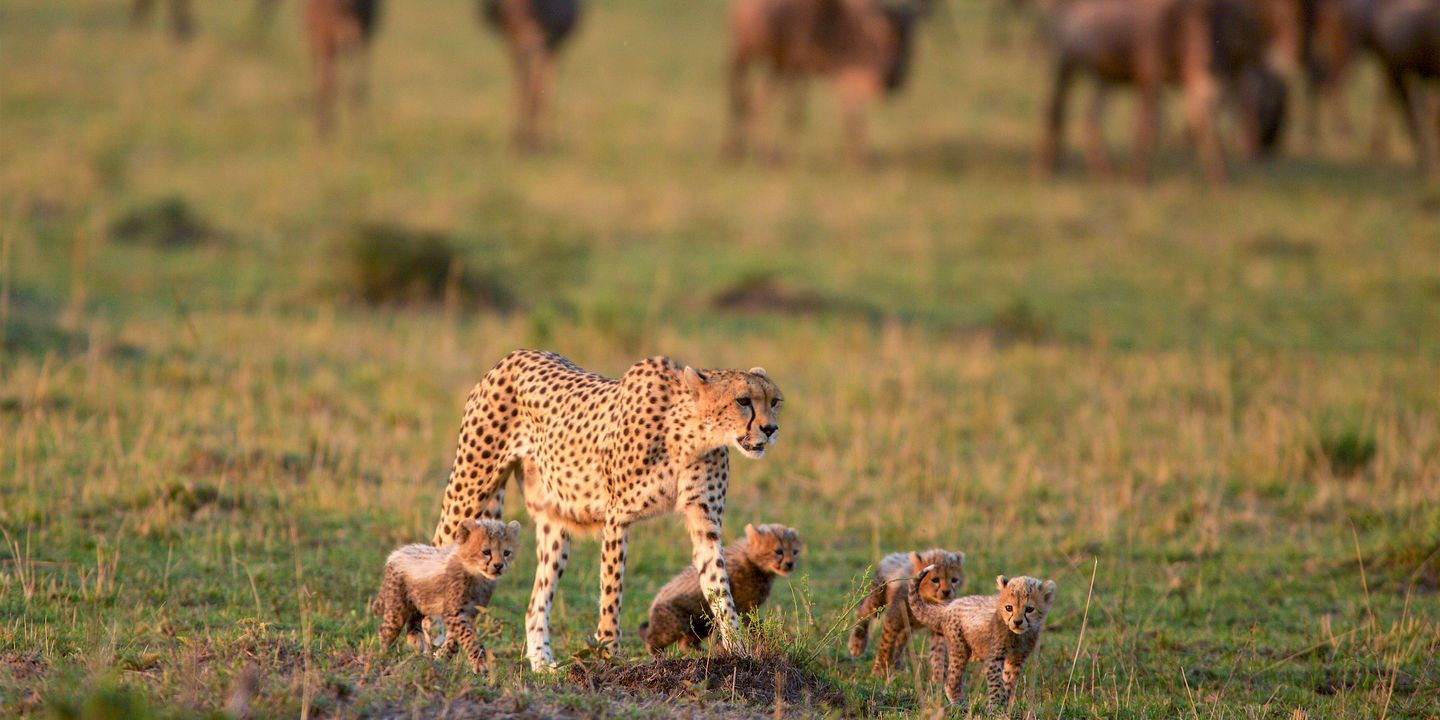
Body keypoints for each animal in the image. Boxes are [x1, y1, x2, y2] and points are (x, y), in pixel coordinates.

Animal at [373, 518, 521, 672]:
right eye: (486, 552)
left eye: (506, 553)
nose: (498, 566)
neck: (475, 572)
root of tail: (396, 553)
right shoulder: (454, 613)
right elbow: (468, 637)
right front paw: (480, 662)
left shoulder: (469, 613)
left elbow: (455, 640)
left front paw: (442, 656)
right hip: (397, 608)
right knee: (386, 631)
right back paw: (385, 659)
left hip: (421, 602)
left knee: (413, 624)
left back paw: (417, 642)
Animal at [430, 349, 783, 670]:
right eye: (743, 401)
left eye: (775, 401)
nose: (770, 429)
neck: (690, 435)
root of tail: (513, 356)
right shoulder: (617, 518)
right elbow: (612, 590)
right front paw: (610, 653)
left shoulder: (704, 522)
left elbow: (719, 587)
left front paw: (739, 650)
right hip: (470, 489)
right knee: (437, 548)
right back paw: (429, 644)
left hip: (555, 521)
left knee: (535, 602)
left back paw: (542, 663)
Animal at [638, 522, 801, 655]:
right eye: (778, 551)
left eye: (795, 551)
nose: (790, 564)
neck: (752, 561)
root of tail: (656, 599)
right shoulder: (742, 606)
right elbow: (752, 625)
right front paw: (766, 639)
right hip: (676, 622)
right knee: (654, 638)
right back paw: (657, 653)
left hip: (701, 623)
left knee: (685, 642)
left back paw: (699, 652)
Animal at [848, 549, 965, 677]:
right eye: (935, 579)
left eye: (954, 580)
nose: (946, 592)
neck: (926, 598)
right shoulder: (892, 621)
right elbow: (886, 645)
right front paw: (878, 671)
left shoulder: (937, 630)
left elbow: (939, 652)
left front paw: (939, 677)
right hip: (877, 600)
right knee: (862, 614)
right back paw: (857, 645)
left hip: (906, 627)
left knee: (901, 641)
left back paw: (896, 665)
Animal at [908, 564, 1057, 708]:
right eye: (1009, 608)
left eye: (1029, 609)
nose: (1017, 622)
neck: (1018, 635)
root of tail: (948, 606)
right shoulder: (994, 657)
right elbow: (997, 684)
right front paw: (995, 709)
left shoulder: (1017, 659)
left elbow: (1008, 682)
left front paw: (1005, 706)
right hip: (959, 649)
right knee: (951, 681)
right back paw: (960, 706)